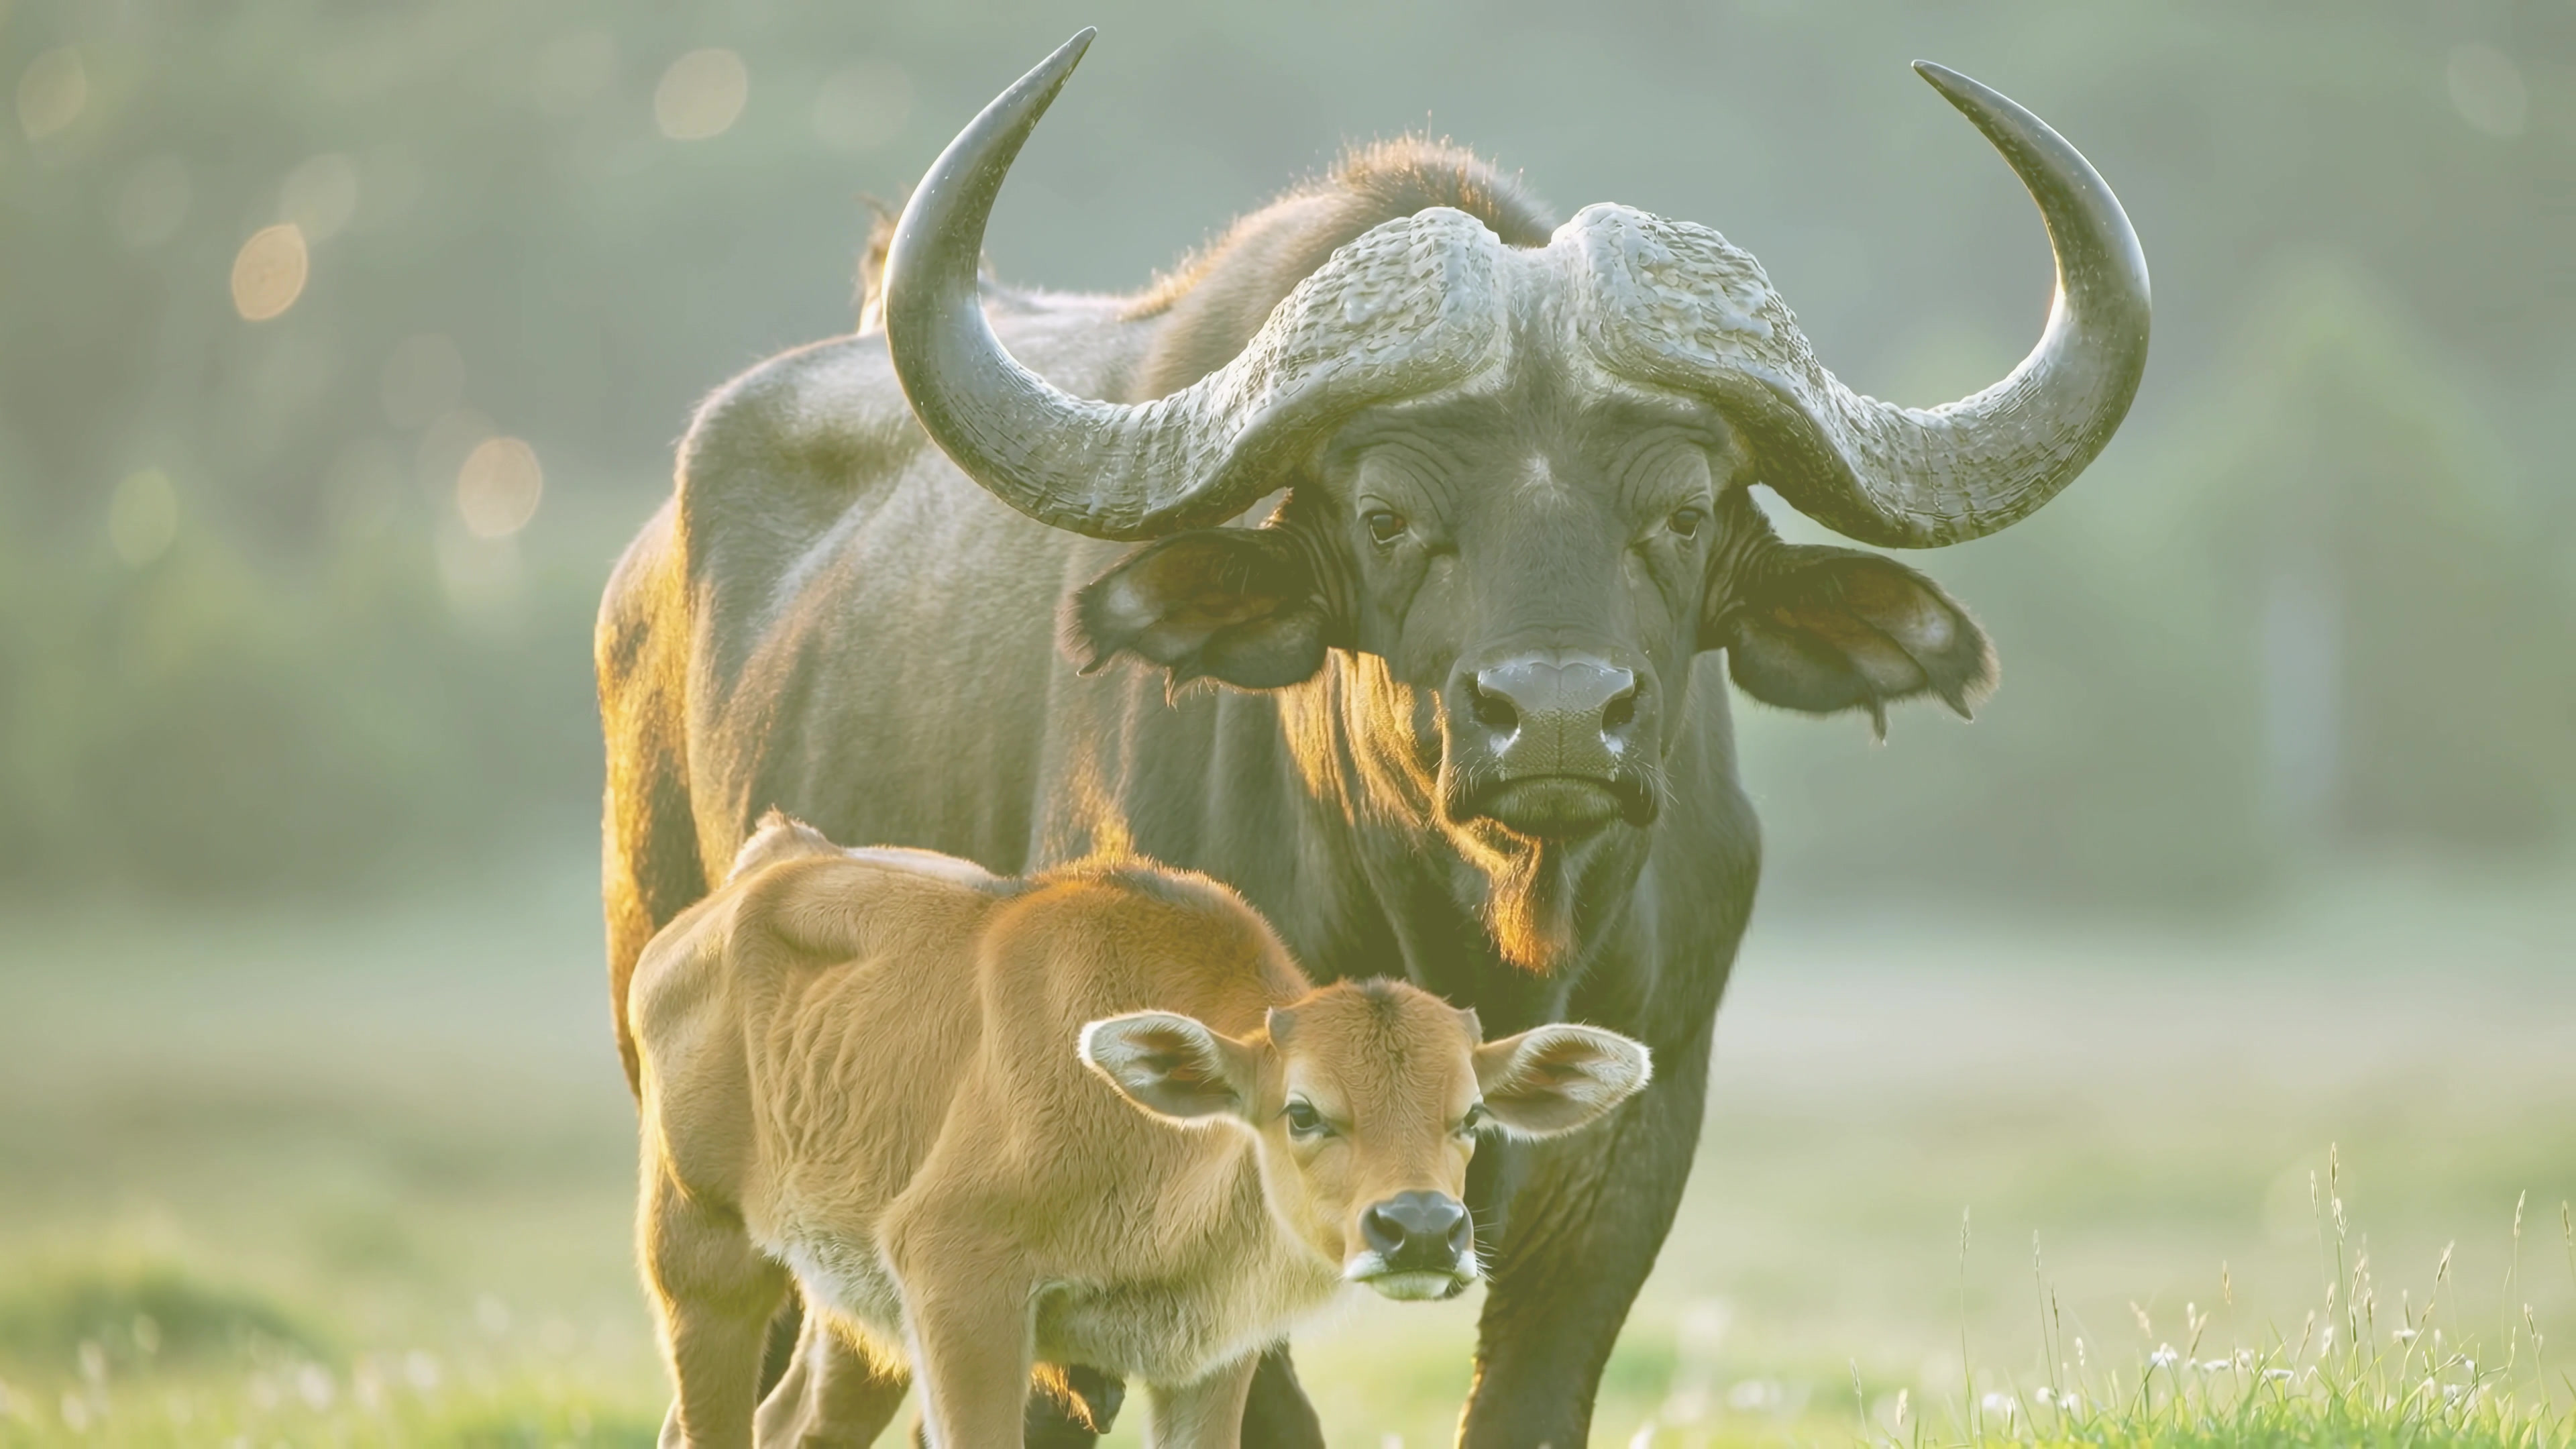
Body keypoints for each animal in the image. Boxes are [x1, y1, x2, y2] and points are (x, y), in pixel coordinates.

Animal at [630, 812, 1650, 1449]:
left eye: (1470, 1114)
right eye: (1303, 1110)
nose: (1424, 1231)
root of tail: (769, 862)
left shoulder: (1213, 1356)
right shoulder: (962, 1286)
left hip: (848, 1318)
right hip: (701, 1252)